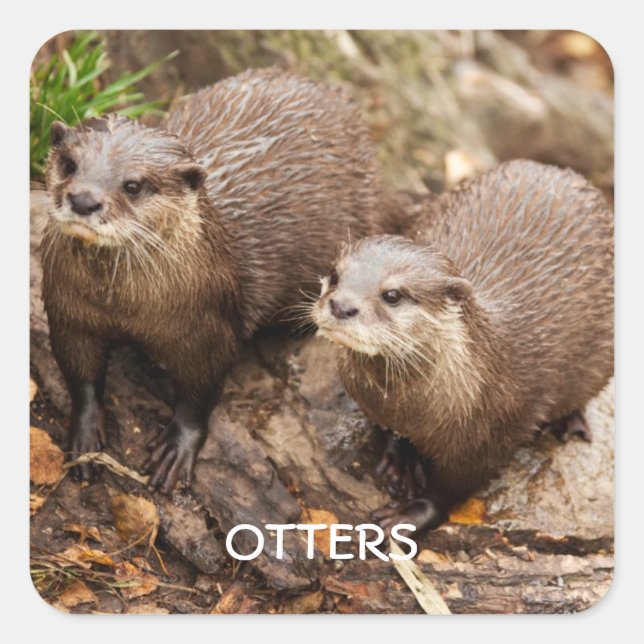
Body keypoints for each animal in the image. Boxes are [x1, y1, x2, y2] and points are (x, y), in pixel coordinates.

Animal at [41, 67, 399, 493]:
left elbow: (200, 394)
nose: (83, 200)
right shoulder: (70, 314)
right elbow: (81, 377)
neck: (123, 307)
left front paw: (176, 449)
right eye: (69, 164)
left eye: (133, 185)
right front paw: (83, 437)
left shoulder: (208, 330)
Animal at [312, 160, 614, 532]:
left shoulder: (489, 437)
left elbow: (452, 488)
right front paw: (402, 460)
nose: (341, 305)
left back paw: (571, 422)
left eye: (392, 294)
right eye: (334, 275)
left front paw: (411, 513)